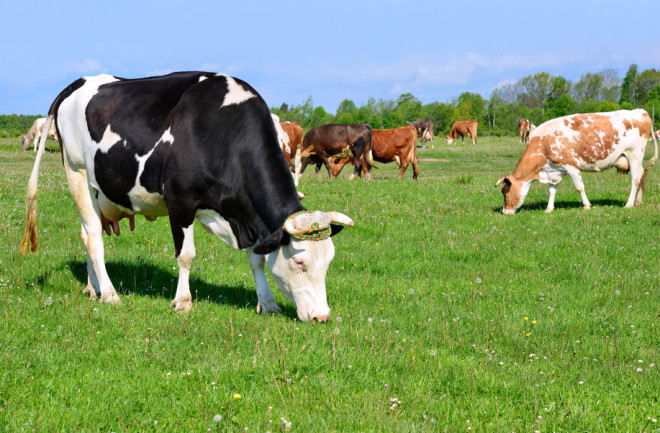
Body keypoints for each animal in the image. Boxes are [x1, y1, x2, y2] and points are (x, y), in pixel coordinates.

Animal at [19, 71, 356, 320]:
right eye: (299, 263)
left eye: (329, 260)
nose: (322, 316)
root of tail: (79, 81)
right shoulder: (180, 203)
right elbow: (186, 255)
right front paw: (183, 301)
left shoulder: (243, 213)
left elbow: (257, 259)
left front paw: (268, 302)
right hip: (77, 175)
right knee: (94, 240)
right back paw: (111, 294)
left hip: (98, 193)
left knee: (86, 234)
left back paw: (94, 289)